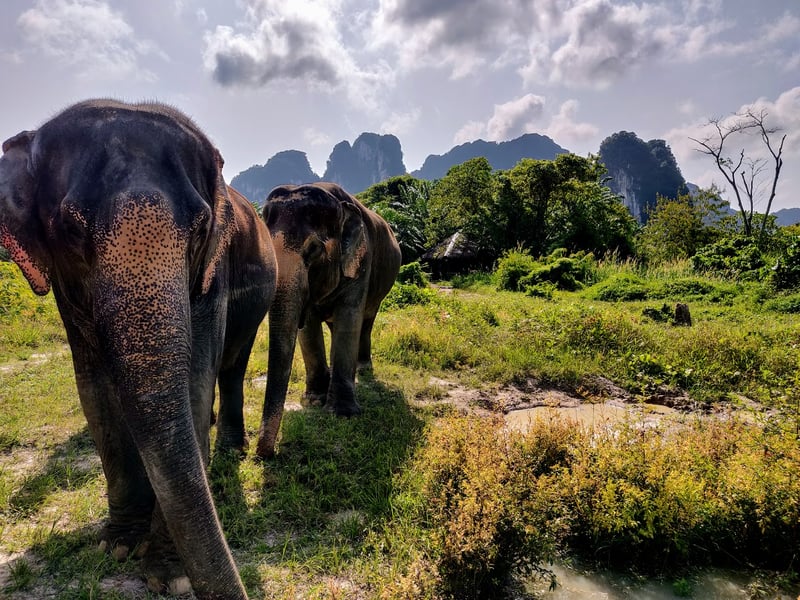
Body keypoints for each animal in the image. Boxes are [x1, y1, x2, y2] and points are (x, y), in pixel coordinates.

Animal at [0, 100, 277, 599]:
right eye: (71, 228)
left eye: (201, 228)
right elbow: (95, 392)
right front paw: (119, 547)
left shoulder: (212, 279)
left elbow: (194, 384)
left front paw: (171, 575)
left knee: (231, 366)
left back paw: (229, 449)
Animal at [255, 182, 401, 459]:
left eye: (313, 250)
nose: (264, 453)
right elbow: (309, 327)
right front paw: (312, 400)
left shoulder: (361, 260)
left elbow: (349, 317)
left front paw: (342, 414)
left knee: (366, 321)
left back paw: (363, 368)